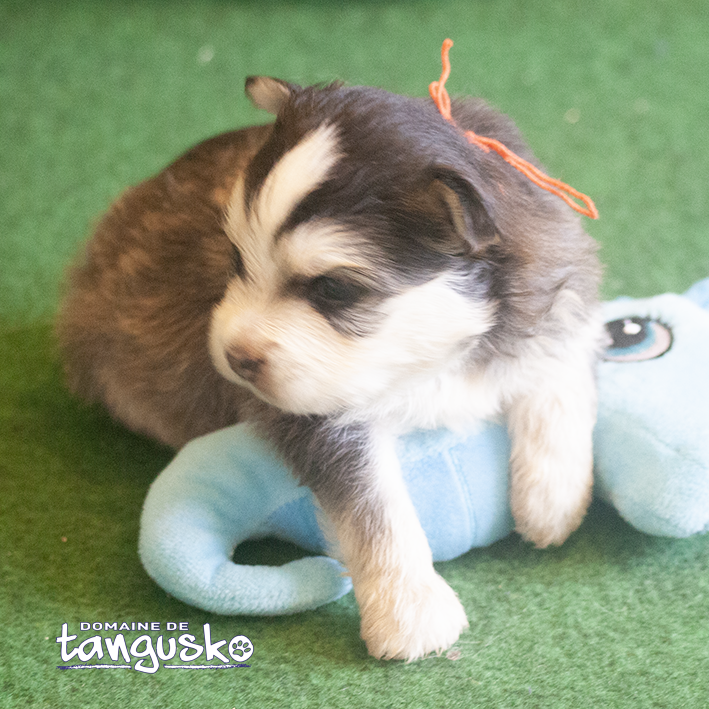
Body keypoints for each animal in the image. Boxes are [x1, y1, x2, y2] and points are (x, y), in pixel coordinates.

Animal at [58, 72, 604, 660]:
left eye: (334, 289)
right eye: (236, 258)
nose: (235, 358)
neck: (427, 353)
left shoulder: (557, 282)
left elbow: (559, 370)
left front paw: (552, 498)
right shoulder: (324, 421)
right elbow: (377, 509)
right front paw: (410, 609)